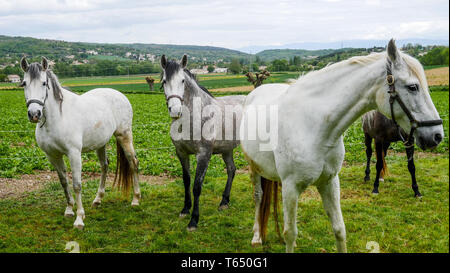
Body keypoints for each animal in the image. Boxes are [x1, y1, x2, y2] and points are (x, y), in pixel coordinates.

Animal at [20, 57, 140, 230]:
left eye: (44, 83)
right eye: (24, 83)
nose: (34, 114)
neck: (58, 118)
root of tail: (119, 94)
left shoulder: (74, 154)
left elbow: (77, 184)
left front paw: (79, 219)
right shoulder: (53, 156)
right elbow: (64, 182)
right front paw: (69, 209)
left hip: (124, 136)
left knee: (133, 162)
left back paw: (136, 199)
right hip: (100, 143)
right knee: (104, 166)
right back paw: (98, 199)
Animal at [241, 39, 444, 252]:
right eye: (413, 87)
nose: (437, 135)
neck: (314, 127)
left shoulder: (329, 182)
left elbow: (339, 229)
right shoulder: (291, 187)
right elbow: (290, 234)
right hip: (254, 168)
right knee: (258, 196)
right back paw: (257, 236)